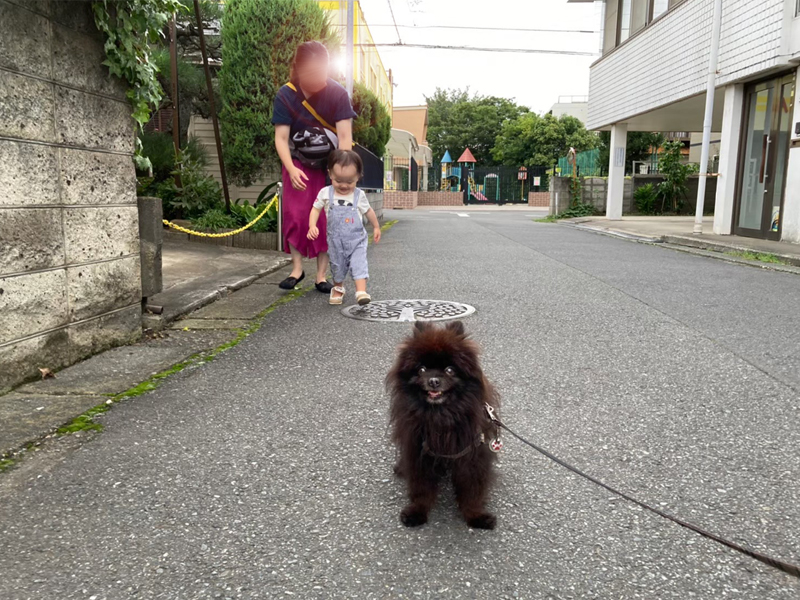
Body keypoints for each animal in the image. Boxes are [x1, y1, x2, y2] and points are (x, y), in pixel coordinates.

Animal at [388, 322, 500, 528]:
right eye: (422, 369)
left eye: (449, 370)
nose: (433, 381)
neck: (441, 415)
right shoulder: (419, 452)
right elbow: (421, 487)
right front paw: (417, 511)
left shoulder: (472, 455)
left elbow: (473, 489)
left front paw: (475, 515)